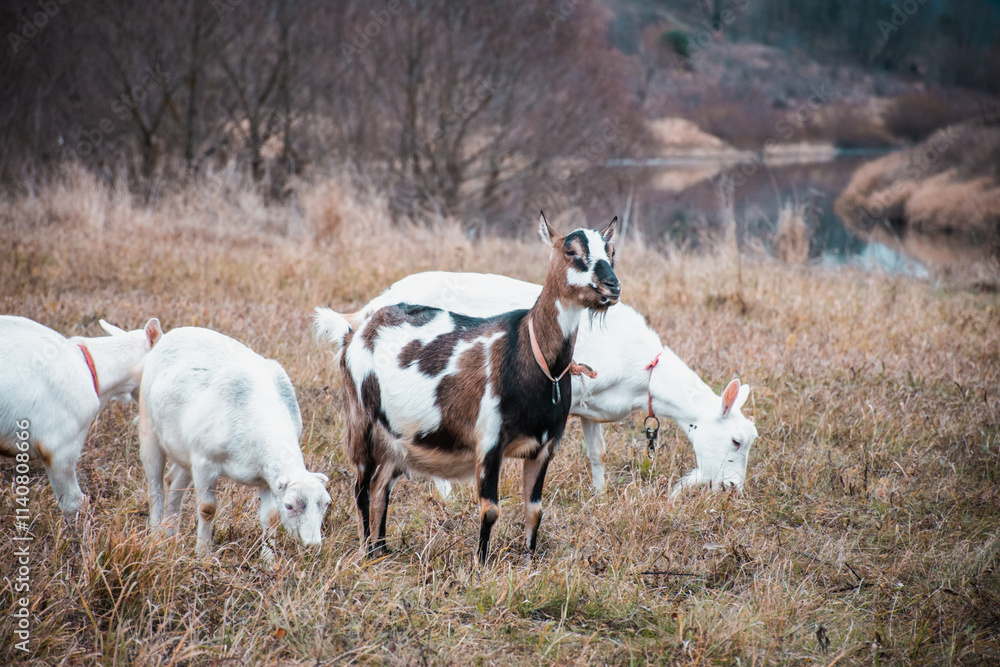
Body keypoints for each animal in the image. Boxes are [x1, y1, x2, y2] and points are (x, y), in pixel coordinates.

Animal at [138, 326, 330, 560]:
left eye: (326, 503)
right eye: (290, 506)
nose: (313, 546)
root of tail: (167, 336)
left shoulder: (266, 478)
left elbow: (271, 517)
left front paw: (268, 560)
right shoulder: (204, 463)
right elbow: (207, 509)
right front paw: (204, 554)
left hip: (183, 450)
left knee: (173, 482)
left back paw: (170, 536)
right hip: (149, 429)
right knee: (155, 485)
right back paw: (156, 536)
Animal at [315, 271, 758, 495]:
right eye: (736, 440)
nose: (732, 488)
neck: (642, 367)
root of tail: (367, 313)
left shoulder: (591, 406)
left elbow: (597, 454)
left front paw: (599, 498)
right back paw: (446, 493)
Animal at [323, 214, 620, 562]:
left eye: (611, 251)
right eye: (571, 252)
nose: (612, 286)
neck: (529, 352)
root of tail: (354, 333)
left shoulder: (544, 447)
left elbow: (535, 510)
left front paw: (530, 561)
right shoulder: (489, 440)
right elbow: (490, 510)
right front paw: (481, 564)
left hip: (398, 438)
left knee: (381, 485)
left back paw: (383, 550)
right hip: (361, 420)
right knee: (361, 487)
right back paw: (367, 553)